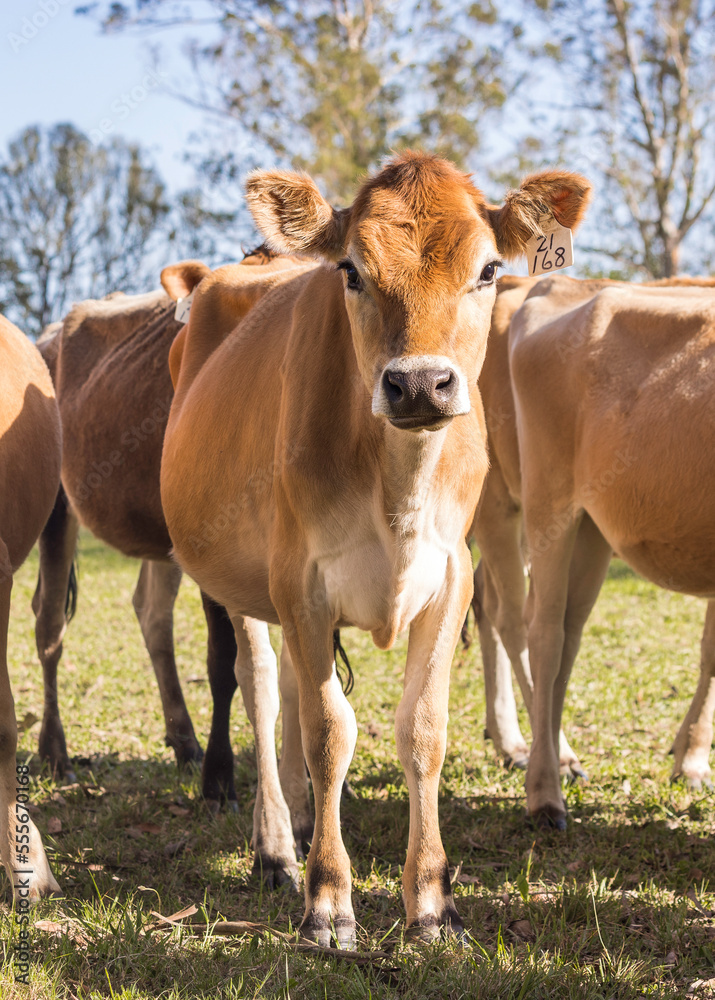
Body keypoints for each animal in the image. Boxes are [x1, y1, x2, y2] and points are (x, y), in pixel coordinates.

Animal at [162, 154, 592, 944]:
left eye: (489, 269)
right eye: (351, 271)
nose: (419, 382)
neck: (398, 491)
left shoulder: (449, 578)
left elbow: (421, 733)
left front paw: (430, 902)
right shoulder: (299, 581)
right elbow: (330, 733)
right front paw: (329, 900)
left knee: (292, 688)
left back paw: (303, 823)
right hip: (242, 580)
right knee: (263, 688)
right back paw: (277, 847)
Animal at [504, 276, 715, 828]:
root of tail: (560, 283)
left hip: (591, 528)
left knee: (569, 636)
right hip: (549, 501)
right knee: (544, 632)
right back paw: (545, 792)